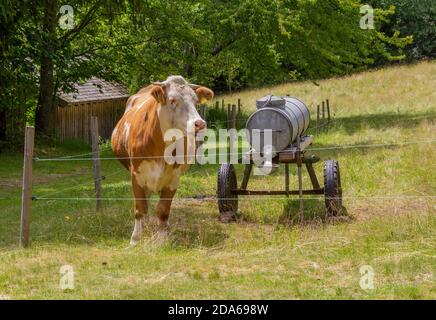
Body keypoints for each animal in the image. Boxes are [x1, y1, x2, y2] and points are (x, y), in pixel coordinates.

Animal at [111, 76, 214, 246]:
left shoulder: (173, 179)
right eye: (172, 100)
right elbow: (140, 208)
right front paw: (135, 239)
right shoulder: (136, 175)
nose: (200, 123)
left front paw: (162, 240)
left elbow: (163, 210)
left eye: (195, 100)